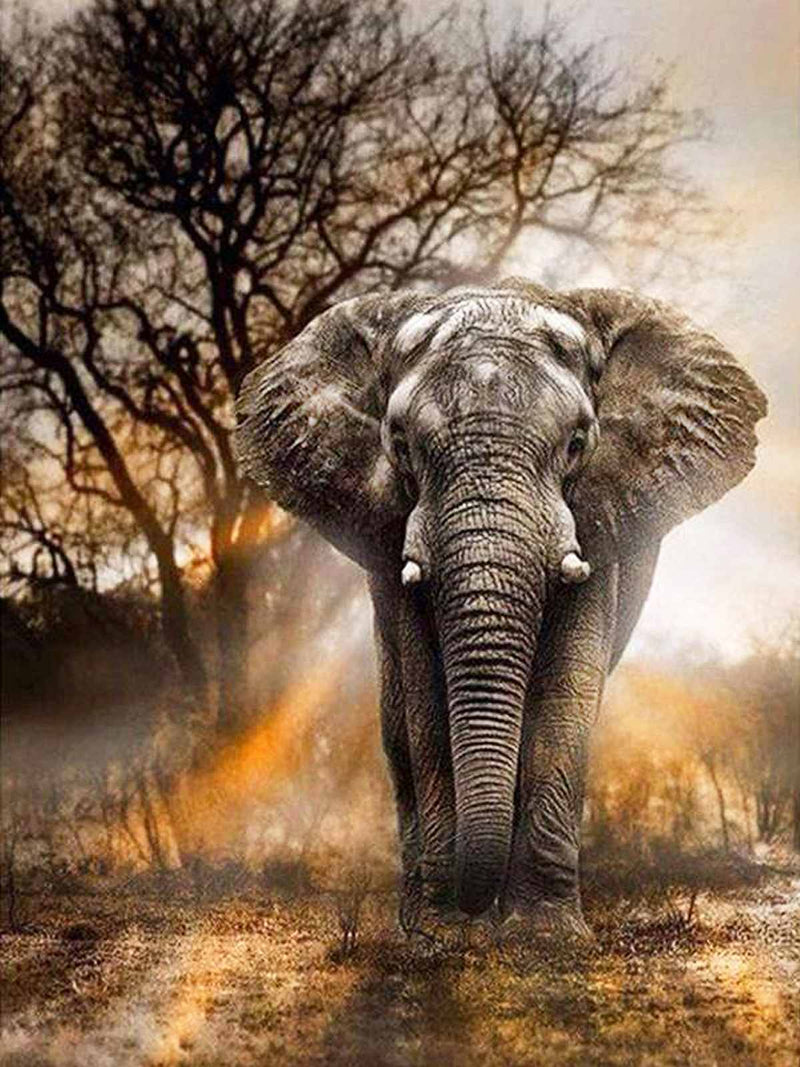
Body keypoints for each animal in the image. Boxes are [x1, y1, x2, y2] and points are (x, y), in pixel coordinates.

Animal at [234, 278, 766, 938]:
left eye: (577, 443)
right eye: (399, 444)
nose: (471, 907)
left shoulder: (598, 518)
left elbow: (565, 694)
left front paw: (545, 938)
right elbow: (426, 699)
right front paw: (443, 936)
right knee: (396, 727)